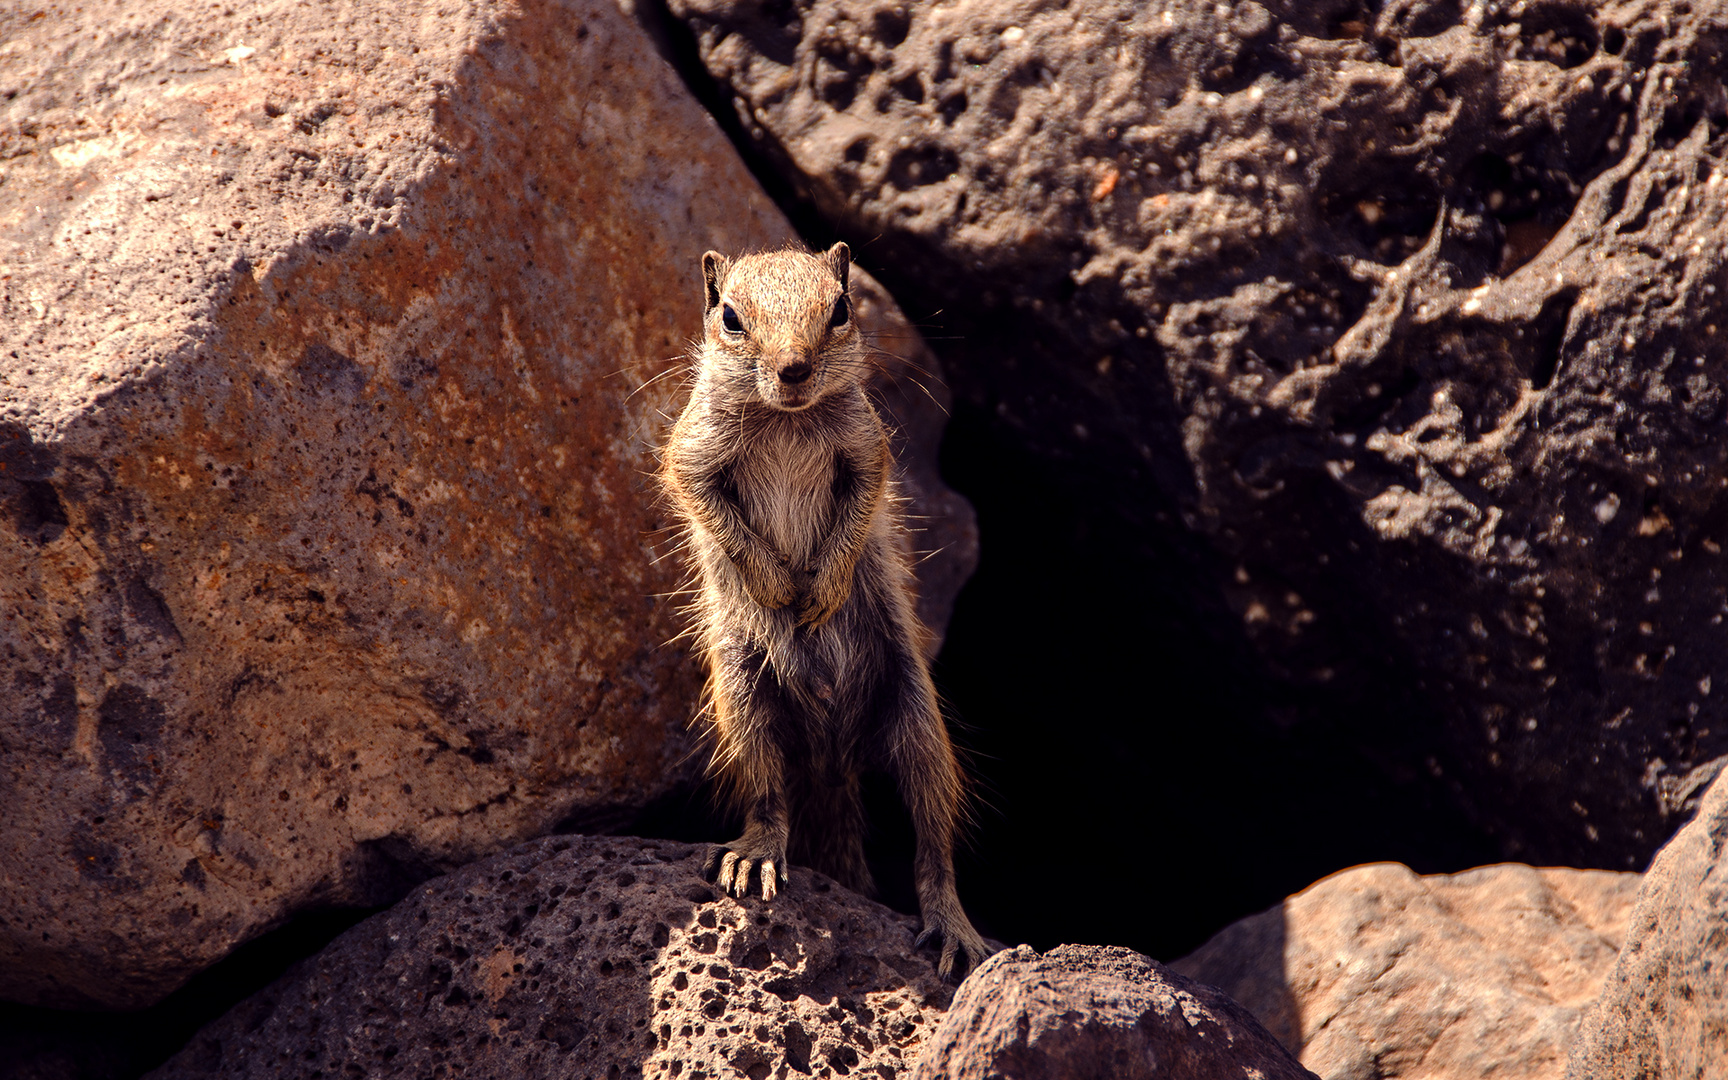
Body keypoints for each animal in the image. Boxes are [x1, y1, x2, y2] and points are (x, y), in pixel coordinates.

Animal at [653, 241, 995, 974]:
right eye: (730, 317)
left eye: (839, 310)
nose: (793, 368)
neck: (786, 419)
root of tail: (830, 758)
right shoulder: (692, 454)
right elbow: (707, 503)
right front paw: (778, 589)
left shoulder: (867, 450)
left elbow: (861, 506)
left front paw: (823, 588)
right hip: (743, 698)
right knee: (768, 796)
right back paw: (755, 856)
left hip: (917, 720)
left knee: (933, 840)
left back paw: (952, 924)